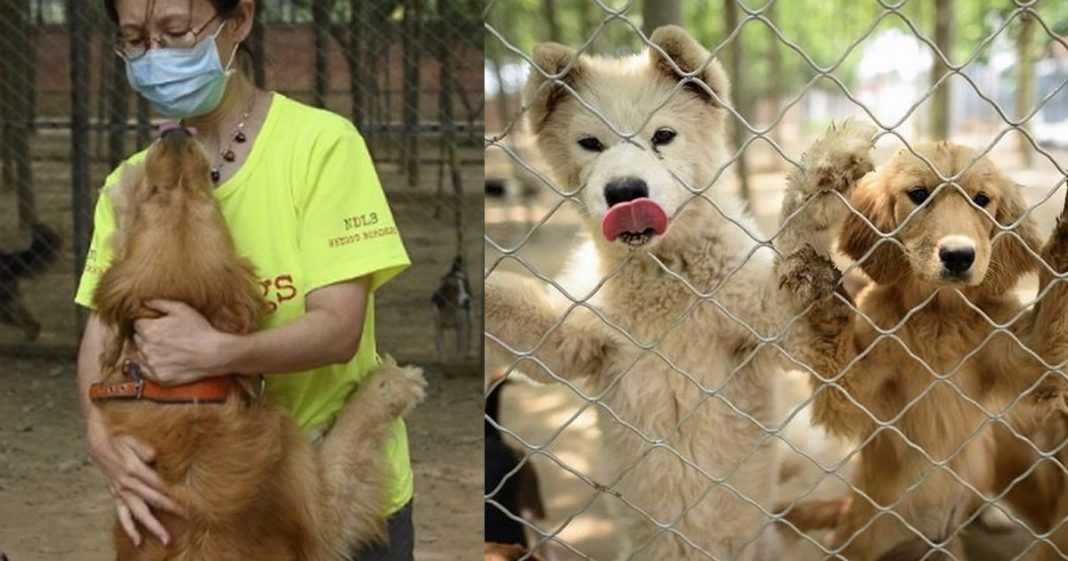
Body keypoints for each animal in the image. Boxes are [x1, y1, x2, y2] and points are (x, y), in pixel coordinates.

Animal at [777, 142, 1068, 559]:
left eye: (981, 200)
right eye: (918, 194)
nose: (959, 256)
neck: (938, 317)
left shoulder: (1030, 360)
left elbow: (1052, 315)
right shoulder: (853, 392)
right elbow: (835, 346)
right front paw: (820, 288)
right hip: (859, 541)